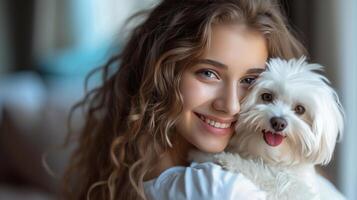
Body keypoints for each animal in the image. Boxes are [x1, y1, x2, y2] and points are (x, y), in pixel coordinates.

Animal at [191, 56, 344, 200]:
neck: (270, 158)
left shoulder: (298, 191)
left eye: (300, 109)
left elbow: (270, 176)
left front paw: (228, 159)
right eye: (267, 96)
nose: (278, 123)